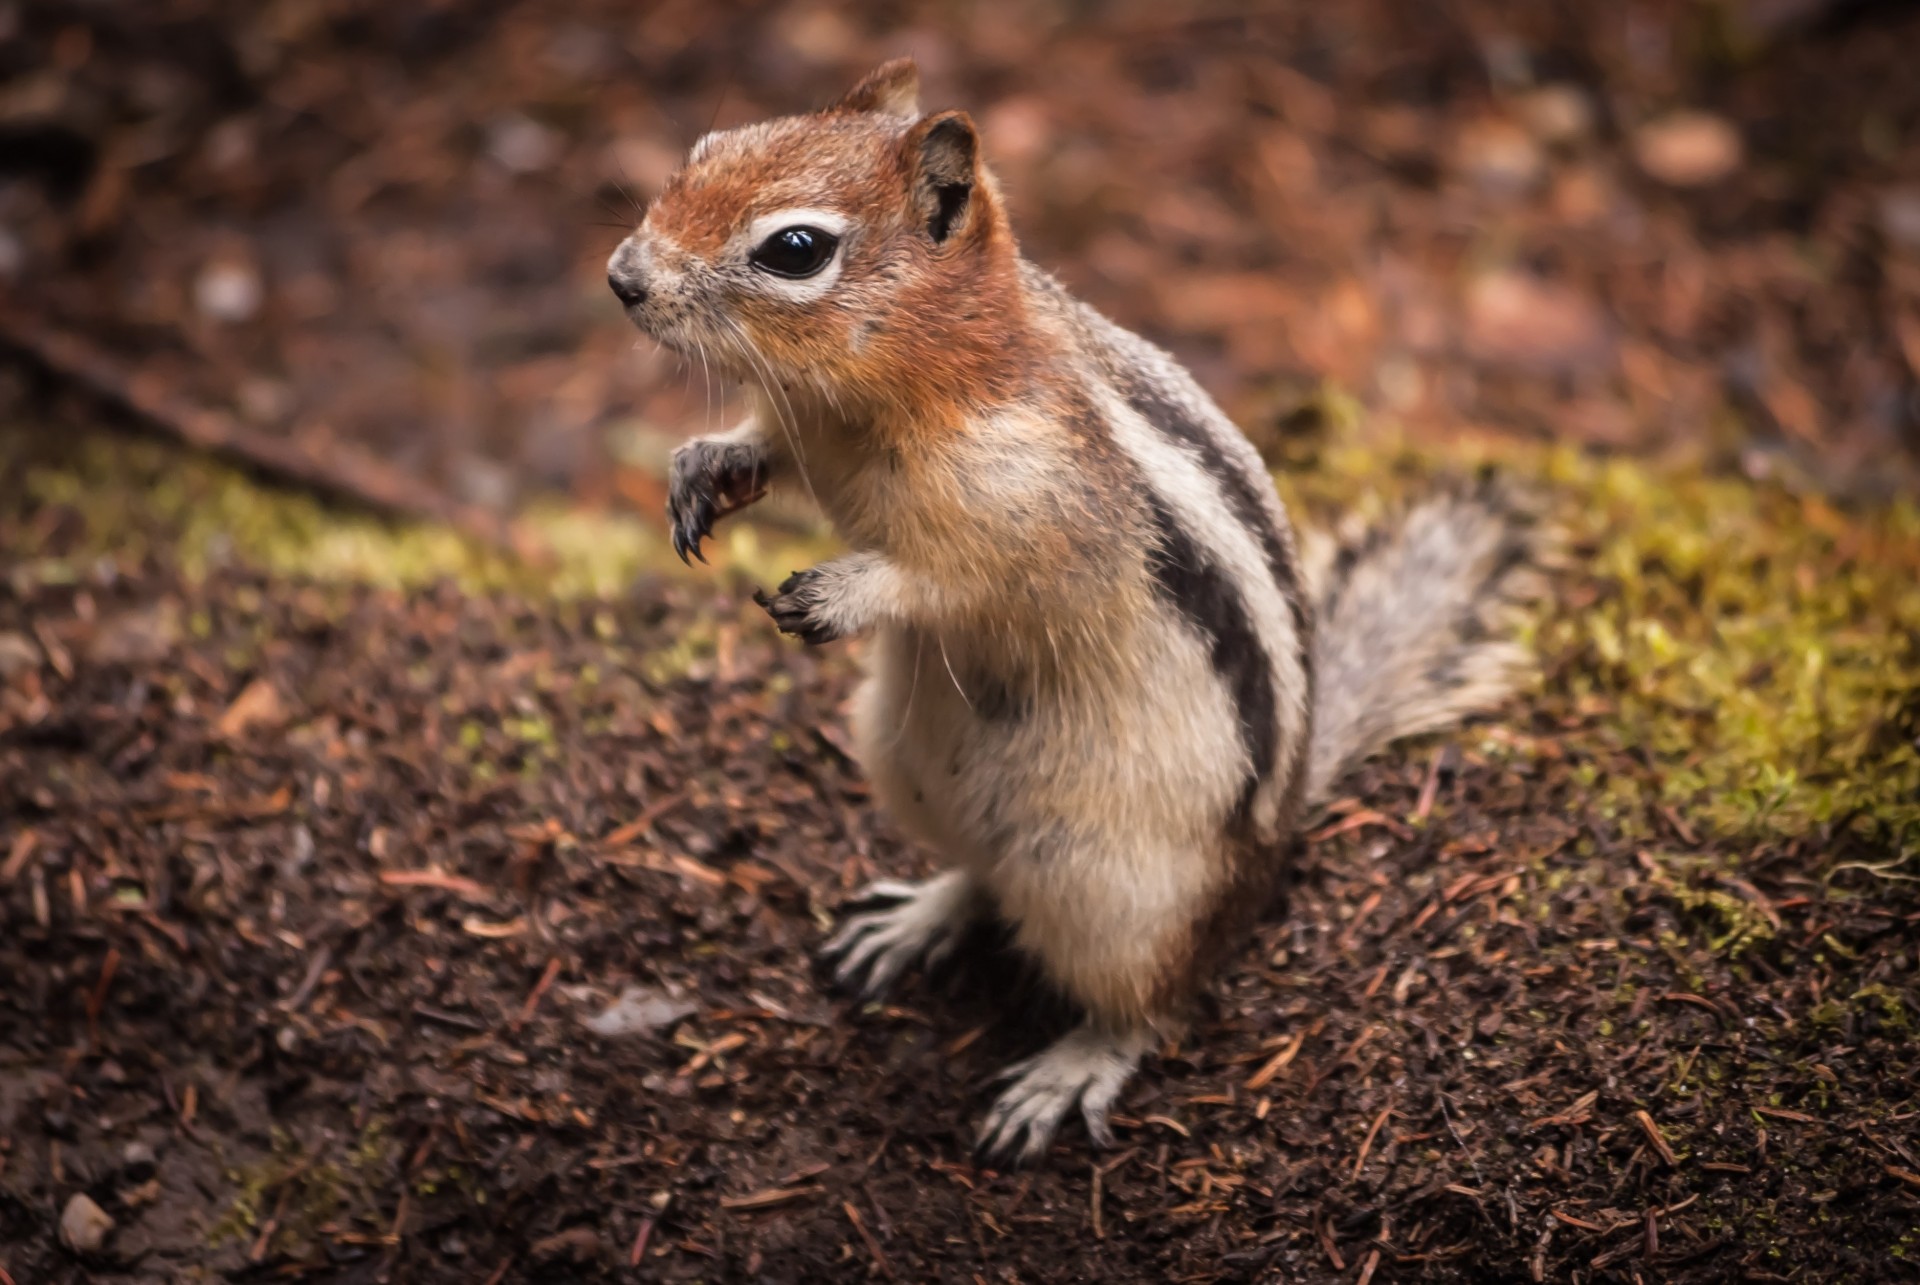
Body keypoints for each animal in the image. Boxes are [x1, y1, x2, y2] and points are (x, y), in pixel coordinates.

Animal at [607, 59, 1552, 1164]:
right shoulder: (808, 429)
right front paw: (704, 464)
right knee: (984, 877)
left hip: (1119, 890)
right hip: (904, 763)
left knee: (1154, 996)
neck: (886, 386)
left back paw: (1075, 1064)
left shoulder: (1039, 503)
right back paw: (917, 917)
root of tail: (1272, 844)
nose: (622, 277)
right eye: (708, 146)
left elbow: (953, 575)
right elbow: (766, 448)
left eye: (794, 250)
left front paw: (843, 590)